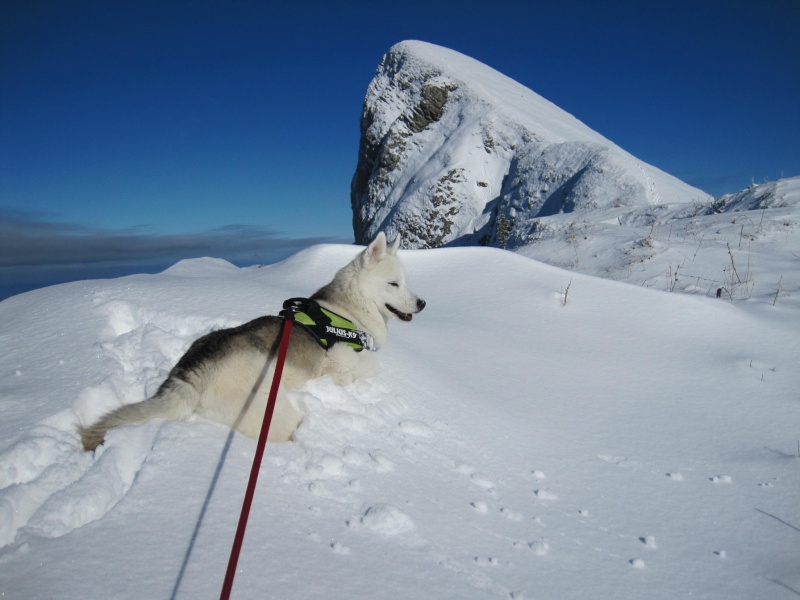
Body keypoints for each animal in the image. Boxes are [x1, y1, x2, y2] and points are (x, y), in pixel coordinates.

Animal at [79, 233, 424, 450]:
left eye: (407, 282)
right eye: (394, 284)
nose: (422, 303)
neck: (348, 310)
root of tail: (191, 371)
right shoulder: (341, 362)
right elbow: (369, 368)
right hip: (275, 411)